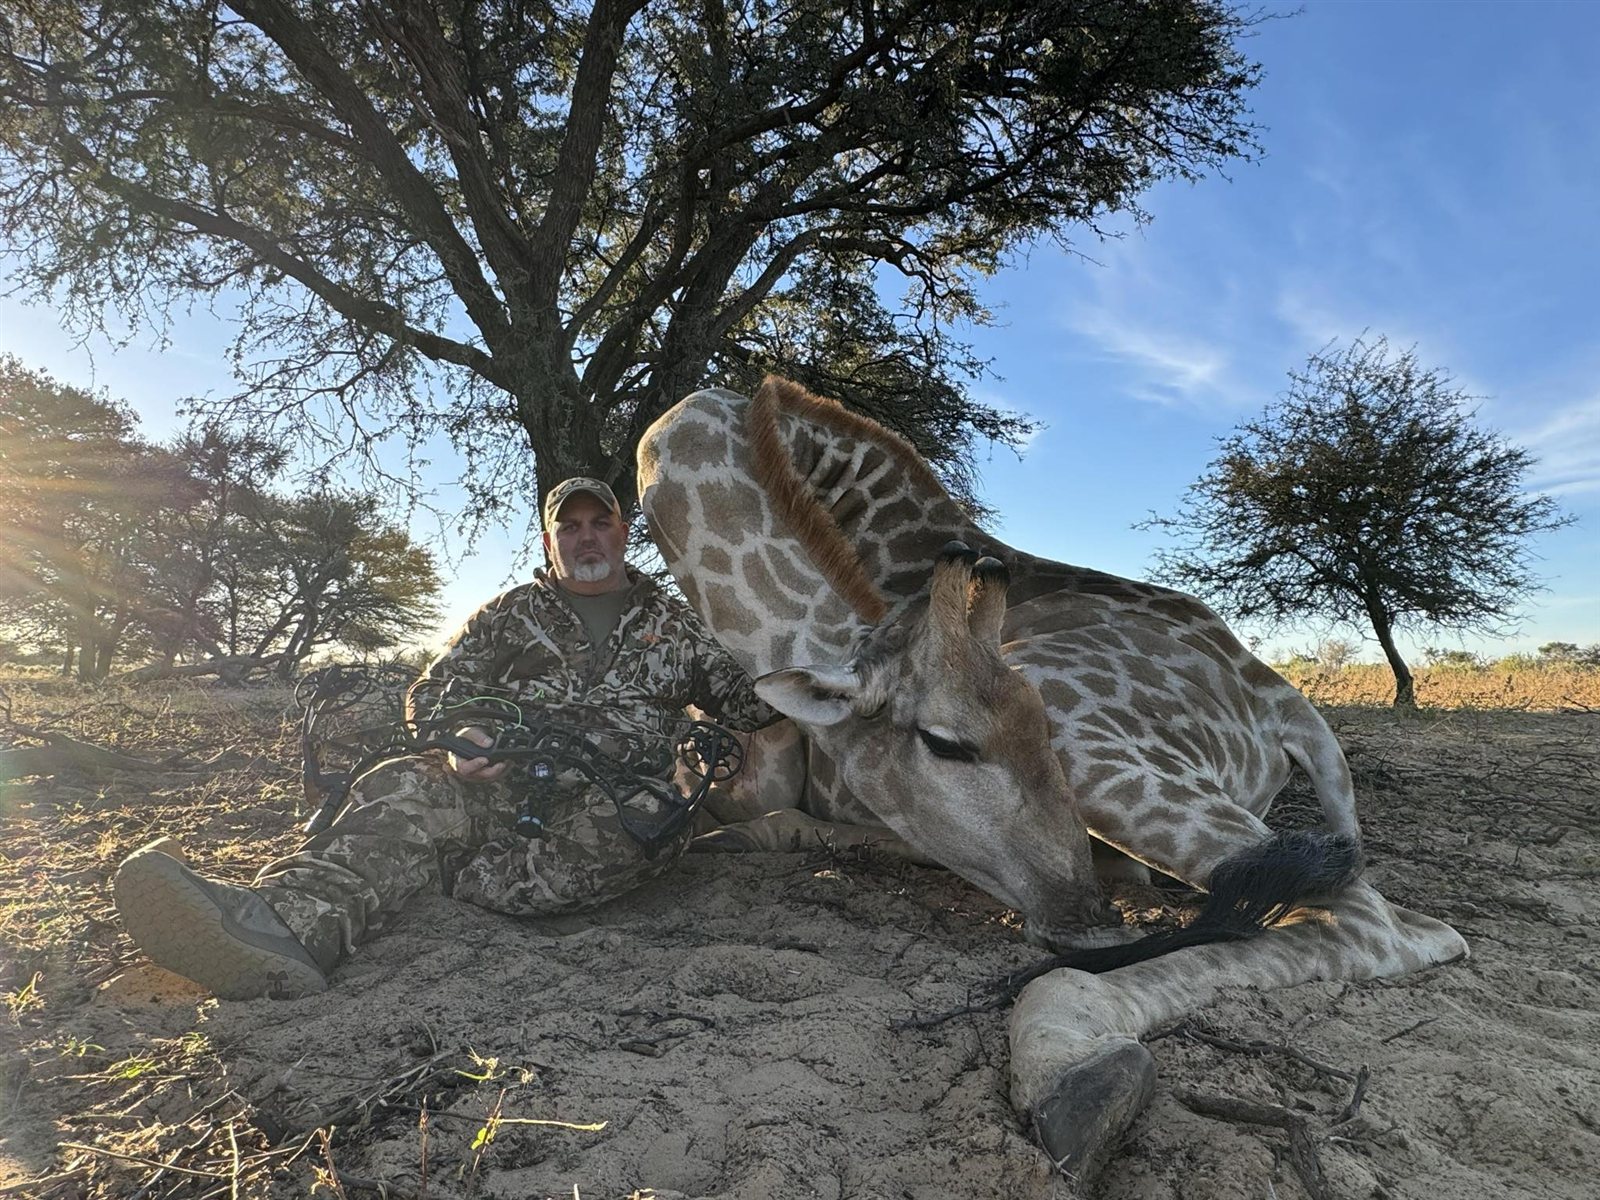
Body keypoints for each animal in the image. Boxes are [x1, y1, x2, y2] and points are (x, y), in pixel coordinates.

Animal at [637, 377, 1468, 1184]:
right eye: (946, 744)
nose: (1092, 914)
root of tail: (1280, 698)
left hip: (1097, 741)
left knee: (1386, 924)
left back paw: (1075, 1061)